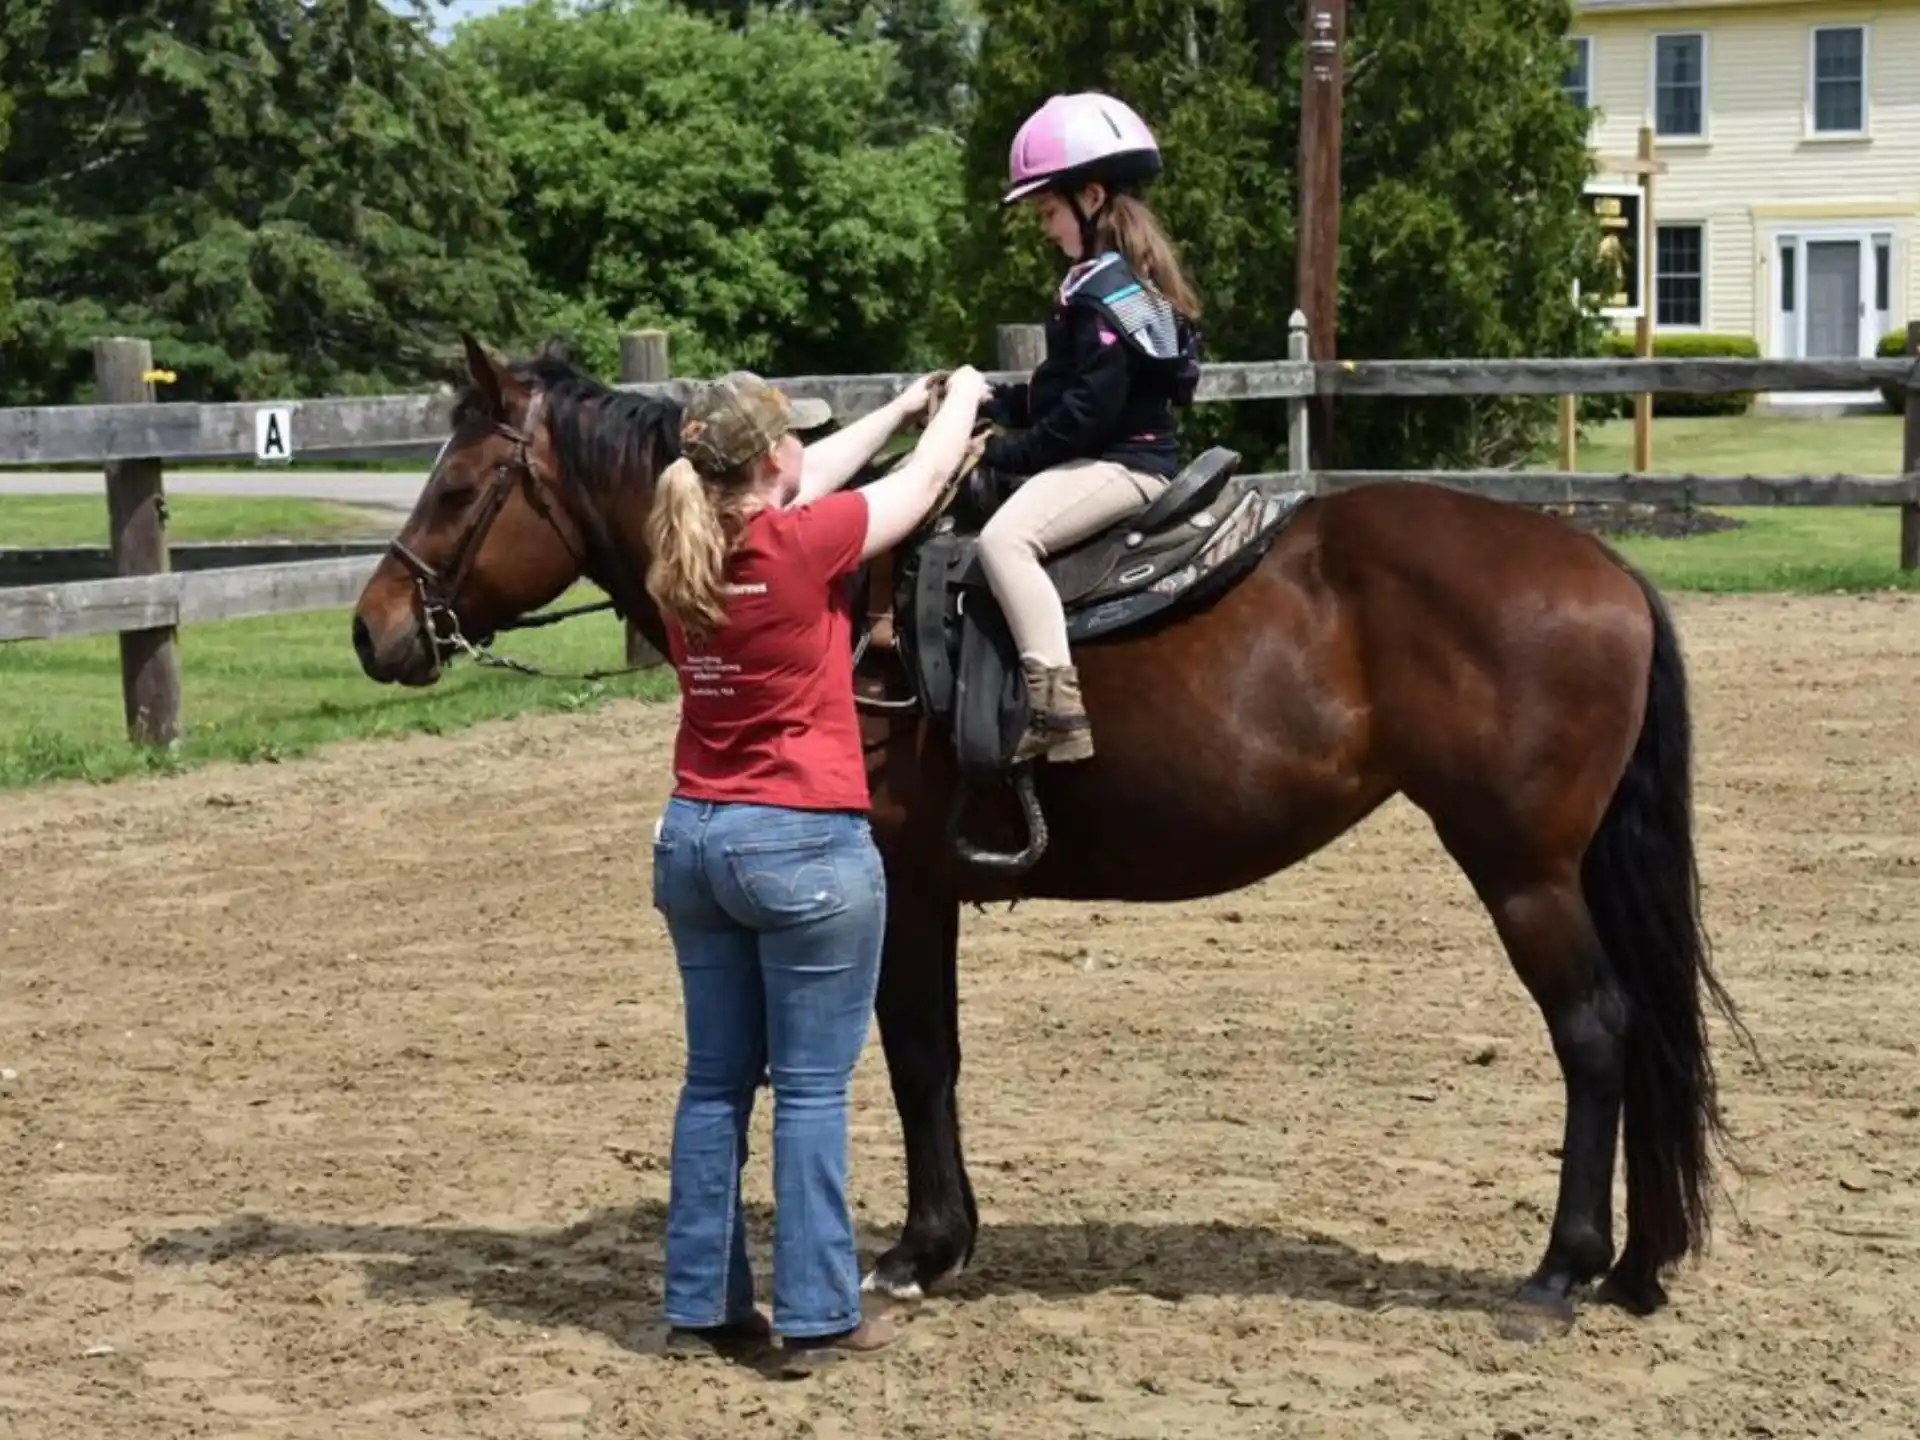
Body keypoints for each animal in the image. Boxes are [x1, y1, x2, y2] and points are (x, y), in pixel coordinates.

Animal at [350, 333, 1750, 1339]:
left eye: (460, 485)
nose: (373, 628)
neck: (859, 601)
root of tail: (1606, 573)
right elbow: (938, 1061)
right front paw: (946, 1238)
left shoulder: (902, 886)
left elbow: (917, 1059)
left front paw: (922, 1249)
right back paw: (1636, 1264)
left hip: (1522, 873)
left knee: (1596, 1035)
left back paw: (1565, 1269)